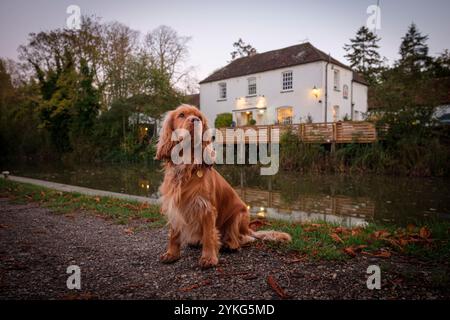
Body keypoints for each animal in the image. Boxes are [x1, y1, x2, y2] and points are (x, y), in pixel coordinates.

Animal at [156, 104, 292, 268]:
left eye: (199, 117)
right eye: (181, 115)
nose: (195, 120)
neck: (186, 166)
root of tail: (248, 228)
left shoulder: (207, 208)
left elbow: (209, 235)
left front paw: (209, 258)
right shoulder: (174, 206)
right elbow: (174, 234)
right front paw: (171, 254)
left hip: (238, 216)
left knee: (245, 238)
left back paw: (230, 244)